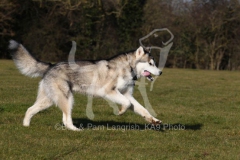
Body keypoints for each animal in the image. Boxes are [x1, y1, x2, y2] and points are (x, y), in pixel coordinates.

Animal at [8, 40, 162, 131]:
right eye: (151, 63)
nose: (160, 72)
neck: (128, 67)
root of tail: (51, 65)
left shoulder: (126, 94)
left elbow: (142, 109)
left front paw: (154, 120)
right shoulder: (109, 92)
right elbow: (126, 103)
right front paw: (121, 111)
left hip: (49, 100)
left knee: (30, 109)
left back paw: (26, 126)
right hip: (67, 98)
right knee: (66, 119)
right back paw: (76, 130)